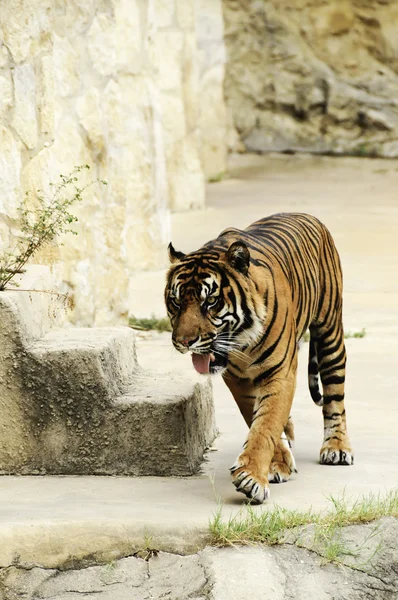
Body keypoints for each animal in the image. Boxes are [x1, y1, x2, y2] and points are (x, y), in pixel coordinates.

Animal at [165, 213, 354, 504]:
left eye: (210, 302)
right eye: (175, 302)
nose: (184, 342)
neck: (243, 340)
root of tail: (306, 215)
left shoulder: (280, 372)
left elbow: (266, 424)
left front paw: (252, 478)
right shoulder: (237, 379)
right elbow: (257, 418)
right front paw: (277, 464)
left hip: (330, 334)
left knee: (335, 397)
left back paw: (337, 448)